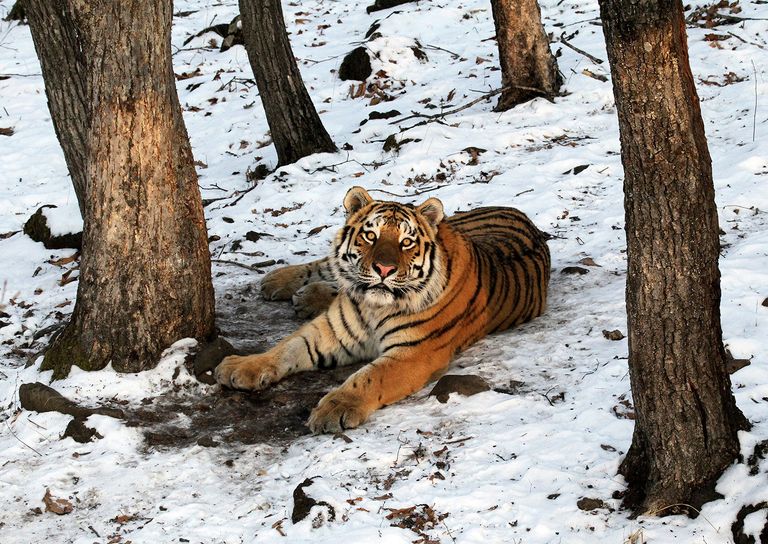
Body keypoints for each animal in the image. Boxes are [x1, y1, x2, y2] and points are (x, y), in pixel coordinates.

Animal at [215, 186, 551, 433]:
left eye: (406, 242)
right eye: (370, 236)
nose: (384, 269)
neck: (373, 306)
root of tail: (516, 211)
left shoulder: (414, 353)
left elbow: (368, 377)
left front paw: (335, 408)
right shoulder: (329, 331)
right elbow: (285, 348)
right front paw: (240, 367)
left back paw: (305, 296)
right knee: (325, 266)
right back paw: (280, 281)